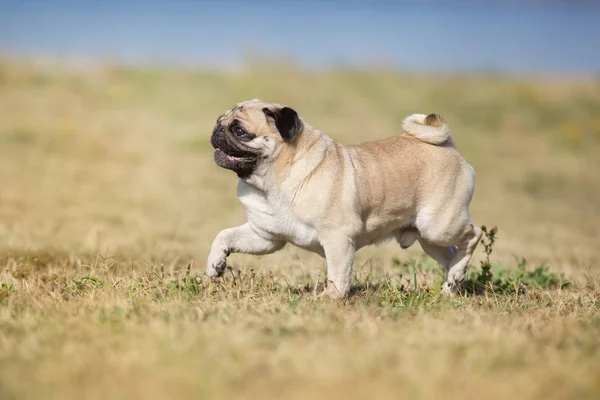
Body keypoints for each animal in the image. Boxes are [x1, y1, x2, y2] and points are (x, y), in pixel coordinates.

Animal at [207, 97, 482, 296]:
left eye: (240, 130)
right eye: (220, 121)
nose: (217, 130)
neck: (272, 183)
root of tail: (447, 146)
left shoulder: (338, 237)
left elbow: (338, 274)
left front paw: (330, 298)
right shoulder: (265, 237)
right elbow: (224, 235)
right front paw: (215, 264)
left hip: (437, 225)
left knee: (474, 235)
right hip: (429, 238)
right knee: (451, 256)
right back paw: (452, 284)